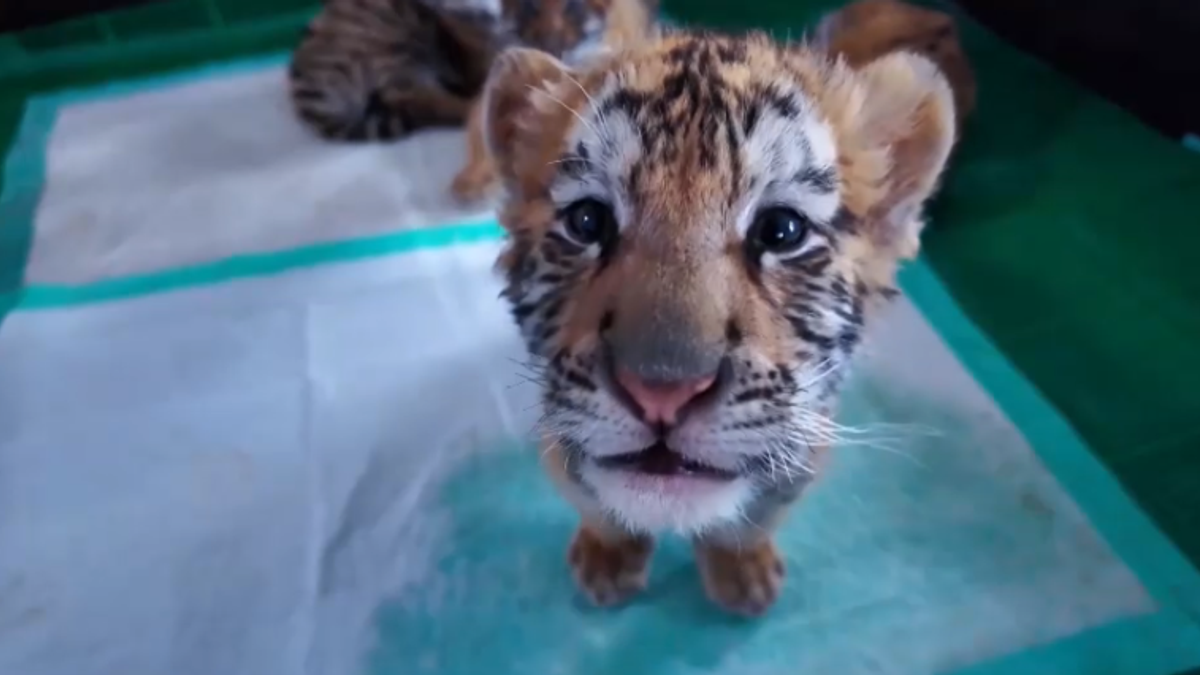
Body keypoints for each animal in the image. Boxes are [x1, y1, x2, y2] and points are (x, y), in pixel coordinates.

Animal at [479, 30, 958, 615]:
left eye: (781, 231)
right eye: (587, 221)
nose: (662, 393)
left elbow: (749, 520)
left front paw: (744, 577)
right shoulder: (560, 436)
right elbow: (597, 504)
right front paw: (607, 563)